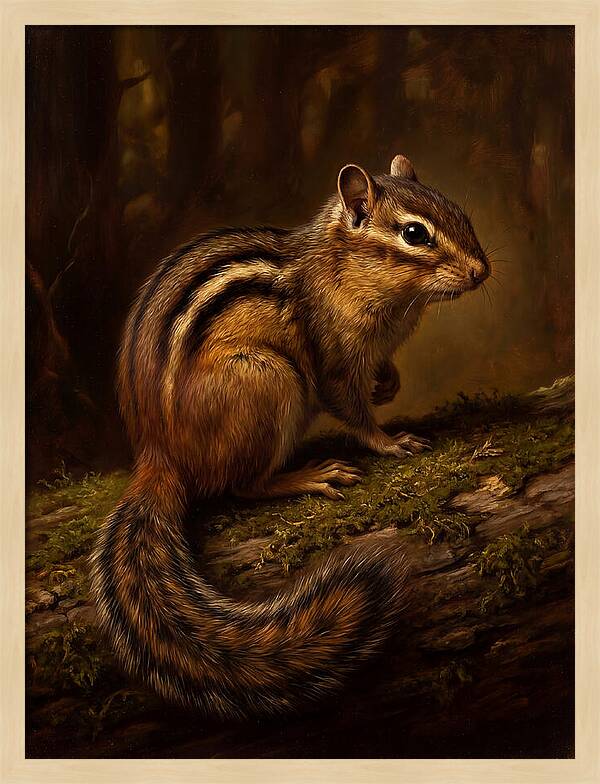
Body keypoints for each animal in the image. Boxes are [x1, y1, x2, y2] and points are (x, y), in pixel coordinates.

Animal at [90, 153, 490, 718]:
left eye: (460, 212)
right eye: (415, 234)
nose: (482, 271)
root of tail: (158, 454)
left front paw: (389, 383)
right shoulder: (333, 357)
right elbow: (351, 409)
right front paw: (391, 442)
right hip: (268, 380)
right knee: (241, 486)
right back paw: (310, 475)